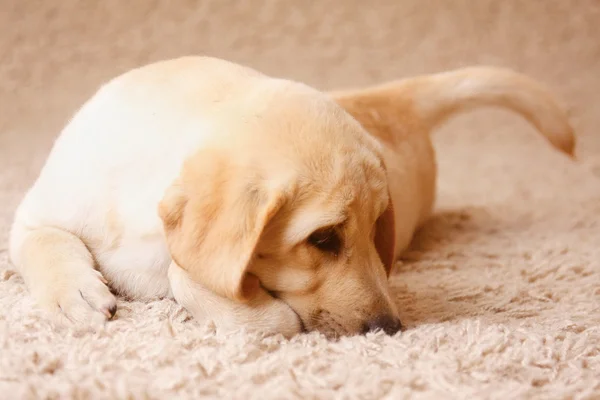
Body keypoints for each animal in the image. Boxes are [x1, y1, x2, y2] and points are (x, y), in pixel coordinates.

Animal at [7, 56, 576, 338]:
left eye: (377, 230)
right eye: (322, 239)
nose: (389, 329)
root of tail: (390, 99)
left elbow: (185, 272)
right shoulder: (36, 213)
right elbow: (45, 242)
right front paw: (75, 296)